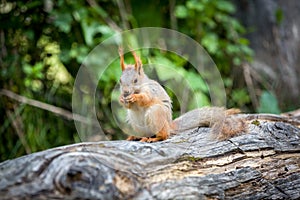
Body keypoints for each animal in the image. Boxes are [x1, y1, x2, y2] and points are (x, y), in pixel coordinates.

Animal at [118, 47, 246, 142]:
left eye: (135, 80)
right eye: (120, 80)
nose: (125, 92)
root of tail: (169, 125)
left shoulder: (151, 90)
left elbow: (146, 98)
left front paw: (135, 97)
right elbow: (129, 106)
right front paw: (121, 99)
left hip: (156, 114)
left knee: (164, 135)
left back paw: (154, 139)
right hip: (134, 120)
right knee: (147, 133)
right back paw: (136, 137)